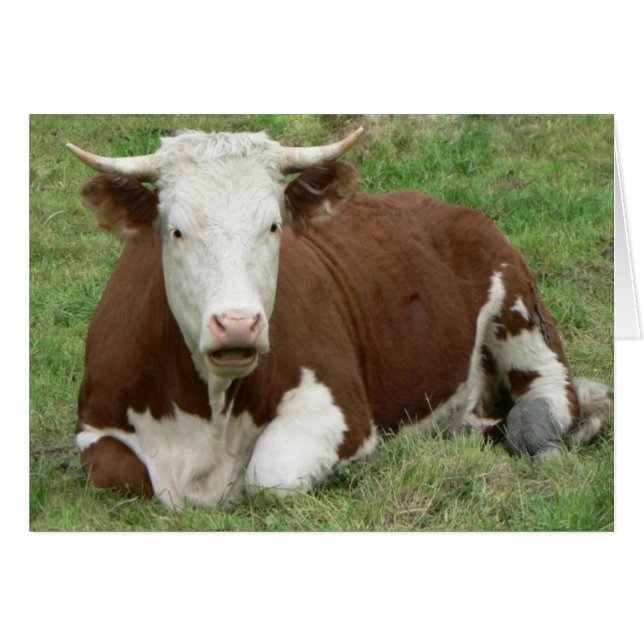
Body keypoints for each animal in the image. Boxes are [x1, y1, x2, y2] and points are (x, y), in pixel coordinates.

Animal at [66, 126, 613, 510]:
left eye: (274, 226)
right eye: (177, 230)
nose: (238, 324)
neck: (209, 411)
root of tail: (440, 205)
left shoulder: (341, 408)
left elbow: (272, 474)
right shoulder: (96, 422)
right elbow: (119, 473)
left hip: (521, 310)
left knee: (550, 401)